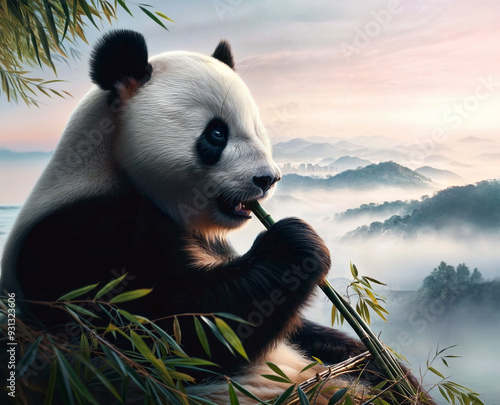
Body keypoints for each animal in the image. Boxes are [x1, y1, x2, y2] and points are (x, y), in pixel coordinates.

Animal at [0, 30, 430, 402]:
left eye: (257, 129)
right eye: (217, 133)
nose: (267, 179)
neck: (112, 168)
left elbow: (314, 338)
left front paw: (387, 363)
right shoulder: (81, 235)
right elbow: (178, 331)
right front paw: (296, 242)